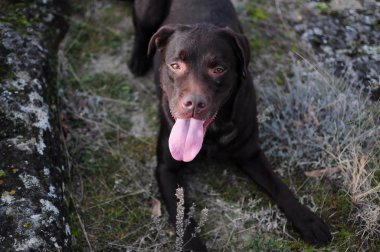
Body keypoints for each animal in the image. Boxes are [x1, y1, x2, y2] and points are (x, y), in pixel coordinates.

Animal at [129, 0, 332, 250]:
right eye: (175, 65)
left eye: (218, 69)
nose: (194, 103)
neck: (211, 133)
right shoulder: (166, 169)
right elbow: (182, 215)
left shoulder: (251, 154)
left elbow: (279, 186)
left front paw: (307, 220)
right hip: (148, 12)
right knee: (141, 33)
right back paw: (138, 60)